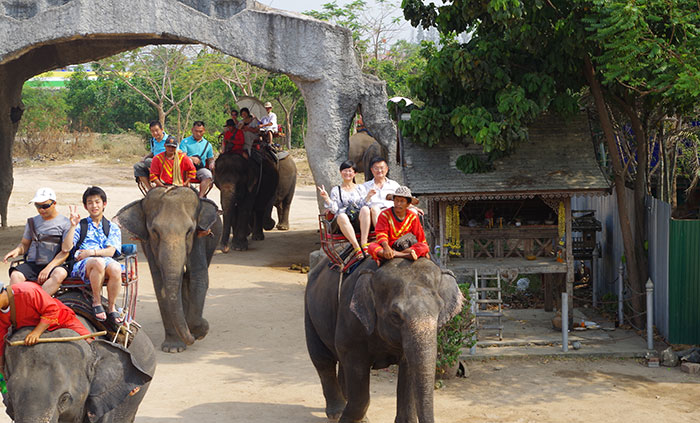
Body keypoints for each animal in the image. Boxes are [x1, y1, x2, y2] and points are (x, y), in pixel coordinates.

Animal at [115, 187, 221, 352]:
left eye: (189, 231)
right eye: (155, 232)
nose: (193, 337)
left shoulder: (199, 239)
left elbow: (198, 277)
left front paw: (198, 330)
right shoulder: (149, 244)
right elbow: (160, 283)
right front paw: (173, 348)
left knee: (188, 277)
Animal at [304, 256, 462, 422]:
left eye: (439, 310)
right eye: (395, 315)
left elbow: (408, 369)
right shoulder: (350, 317)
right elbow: (356, 370)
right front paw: (346, 419)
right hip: (310, 311)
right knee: (322, 360)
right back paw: (337, 414)